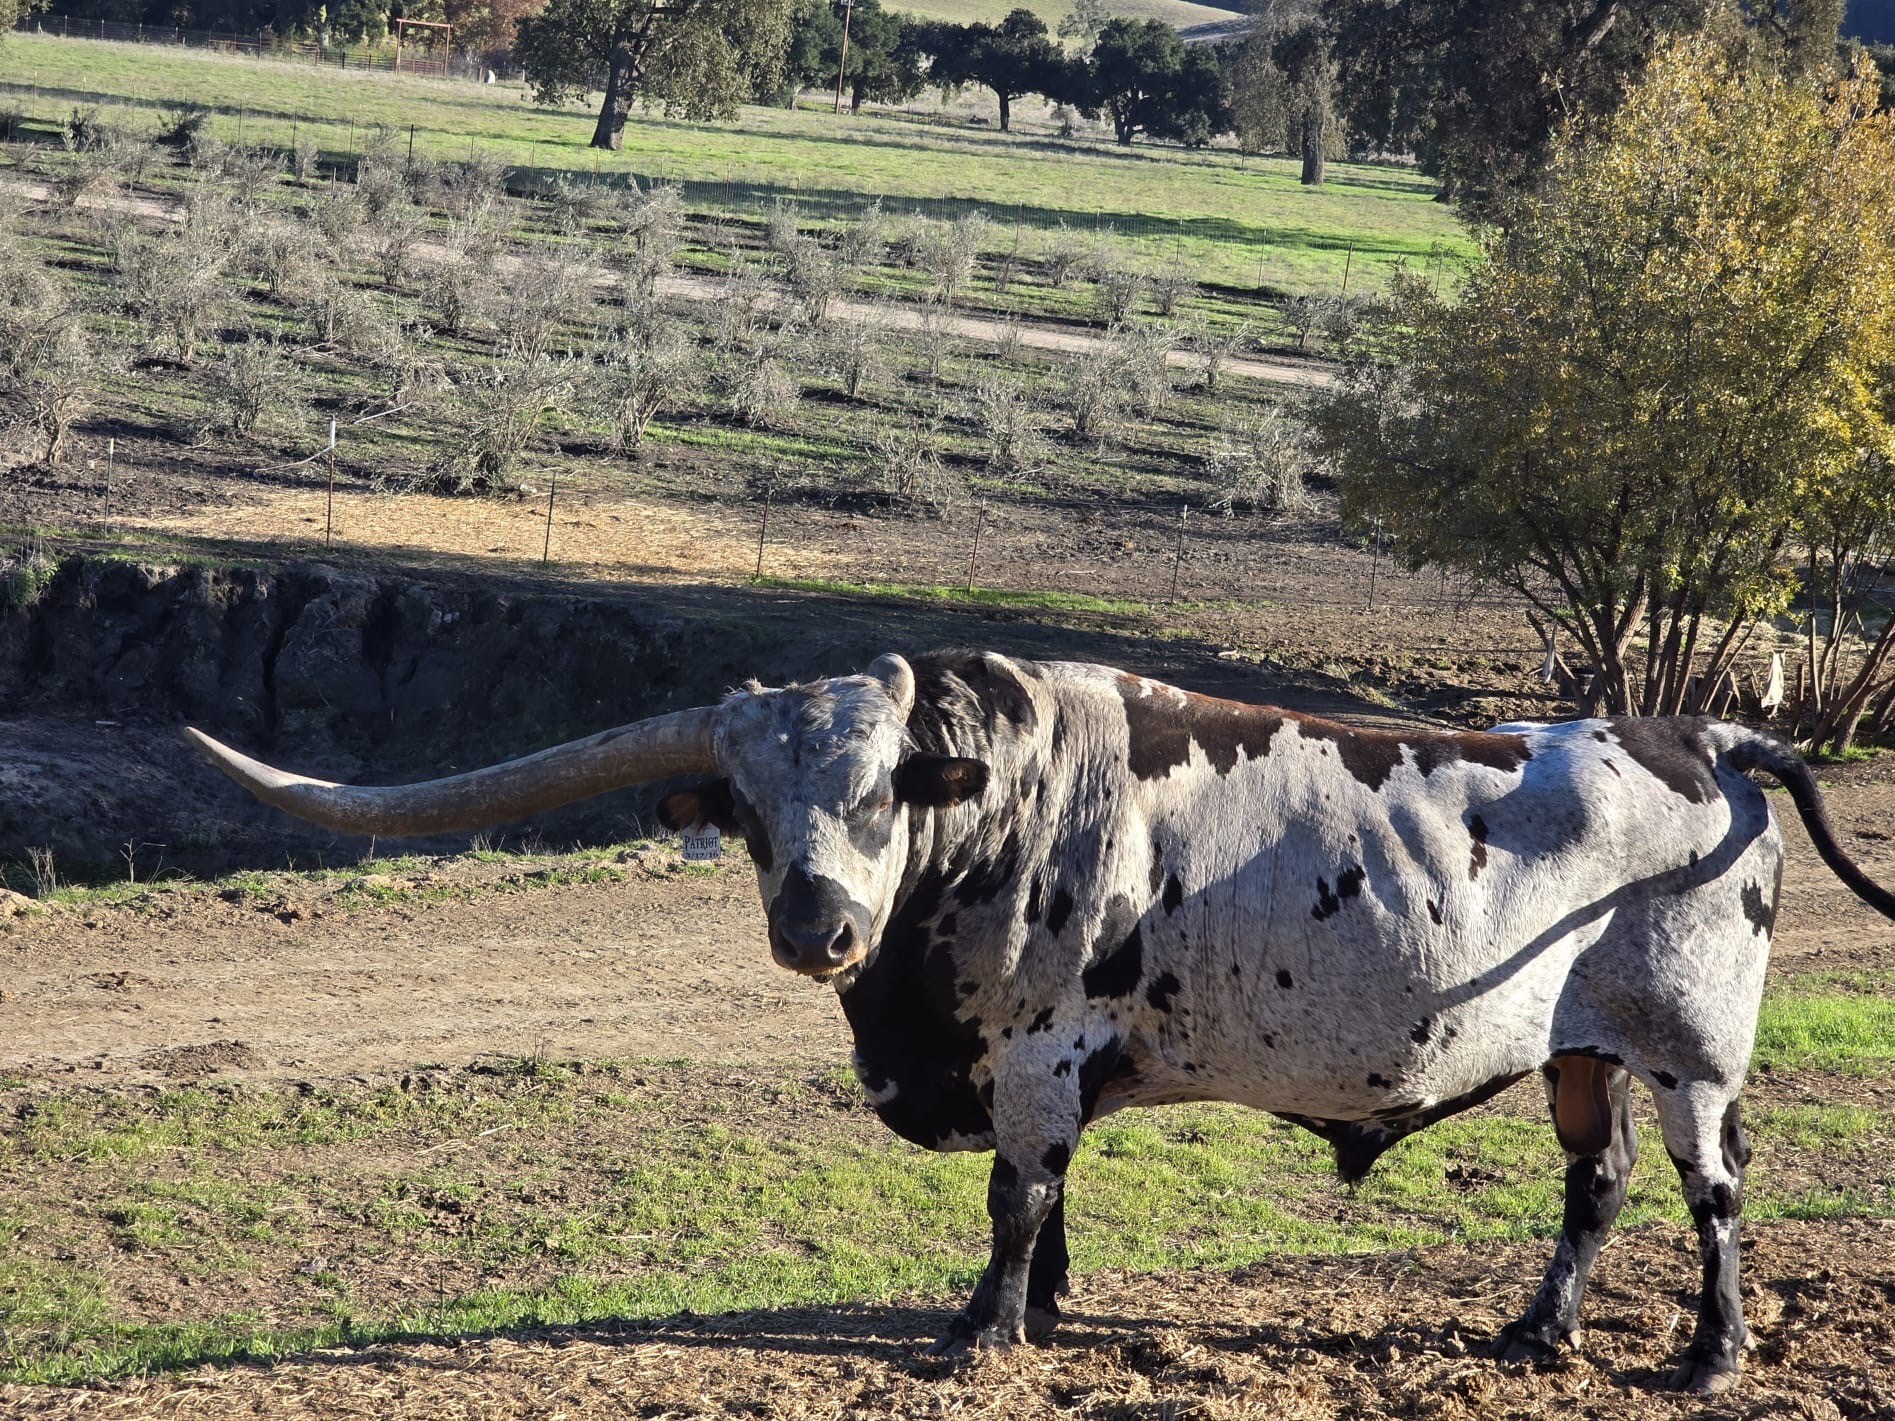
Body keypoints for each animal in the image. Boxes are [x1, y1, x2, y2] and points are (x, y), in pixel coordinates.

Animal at [186, 649, 1895, 1394]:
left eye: (880, 791)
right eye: (742, 807)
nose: (819, 928)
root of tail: (1704, 733)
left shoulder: (1031, 1055)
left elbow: (1015, 1198)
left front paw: (982, 1331)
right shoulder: (1042, 1073)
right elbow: (1052, 1197)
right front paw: (1045, 1310)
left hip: (1688, 1050)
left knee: (1711, 1194)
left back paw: (1709, 1356)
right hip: (1574, 1047)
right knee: (1590, 1183)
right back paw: (1534, 1331)